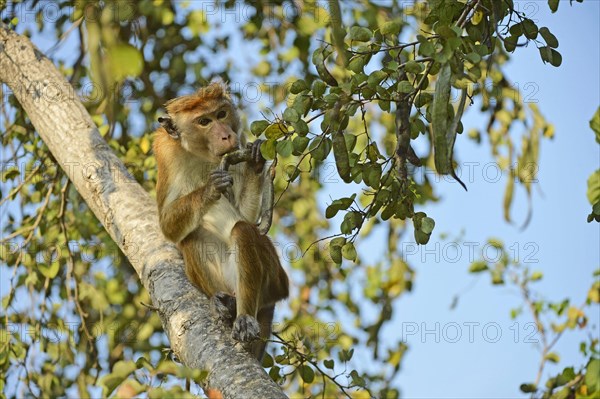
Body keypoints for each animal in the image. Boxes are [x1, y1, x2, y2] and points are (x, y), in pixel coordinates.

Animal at [152, 83, 288, 360]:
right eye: (204, 121)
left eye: (221, 114)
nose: (226, 136)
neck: (200, 154)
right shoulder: (166, 154)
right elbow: (168, 226)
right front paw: (210, 189)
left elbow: (246, 218)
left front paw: (256, 162)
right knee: (191, 236)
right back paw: (222, 301)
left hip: (273, 277)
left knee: (243, 230)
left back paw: (244, 315)